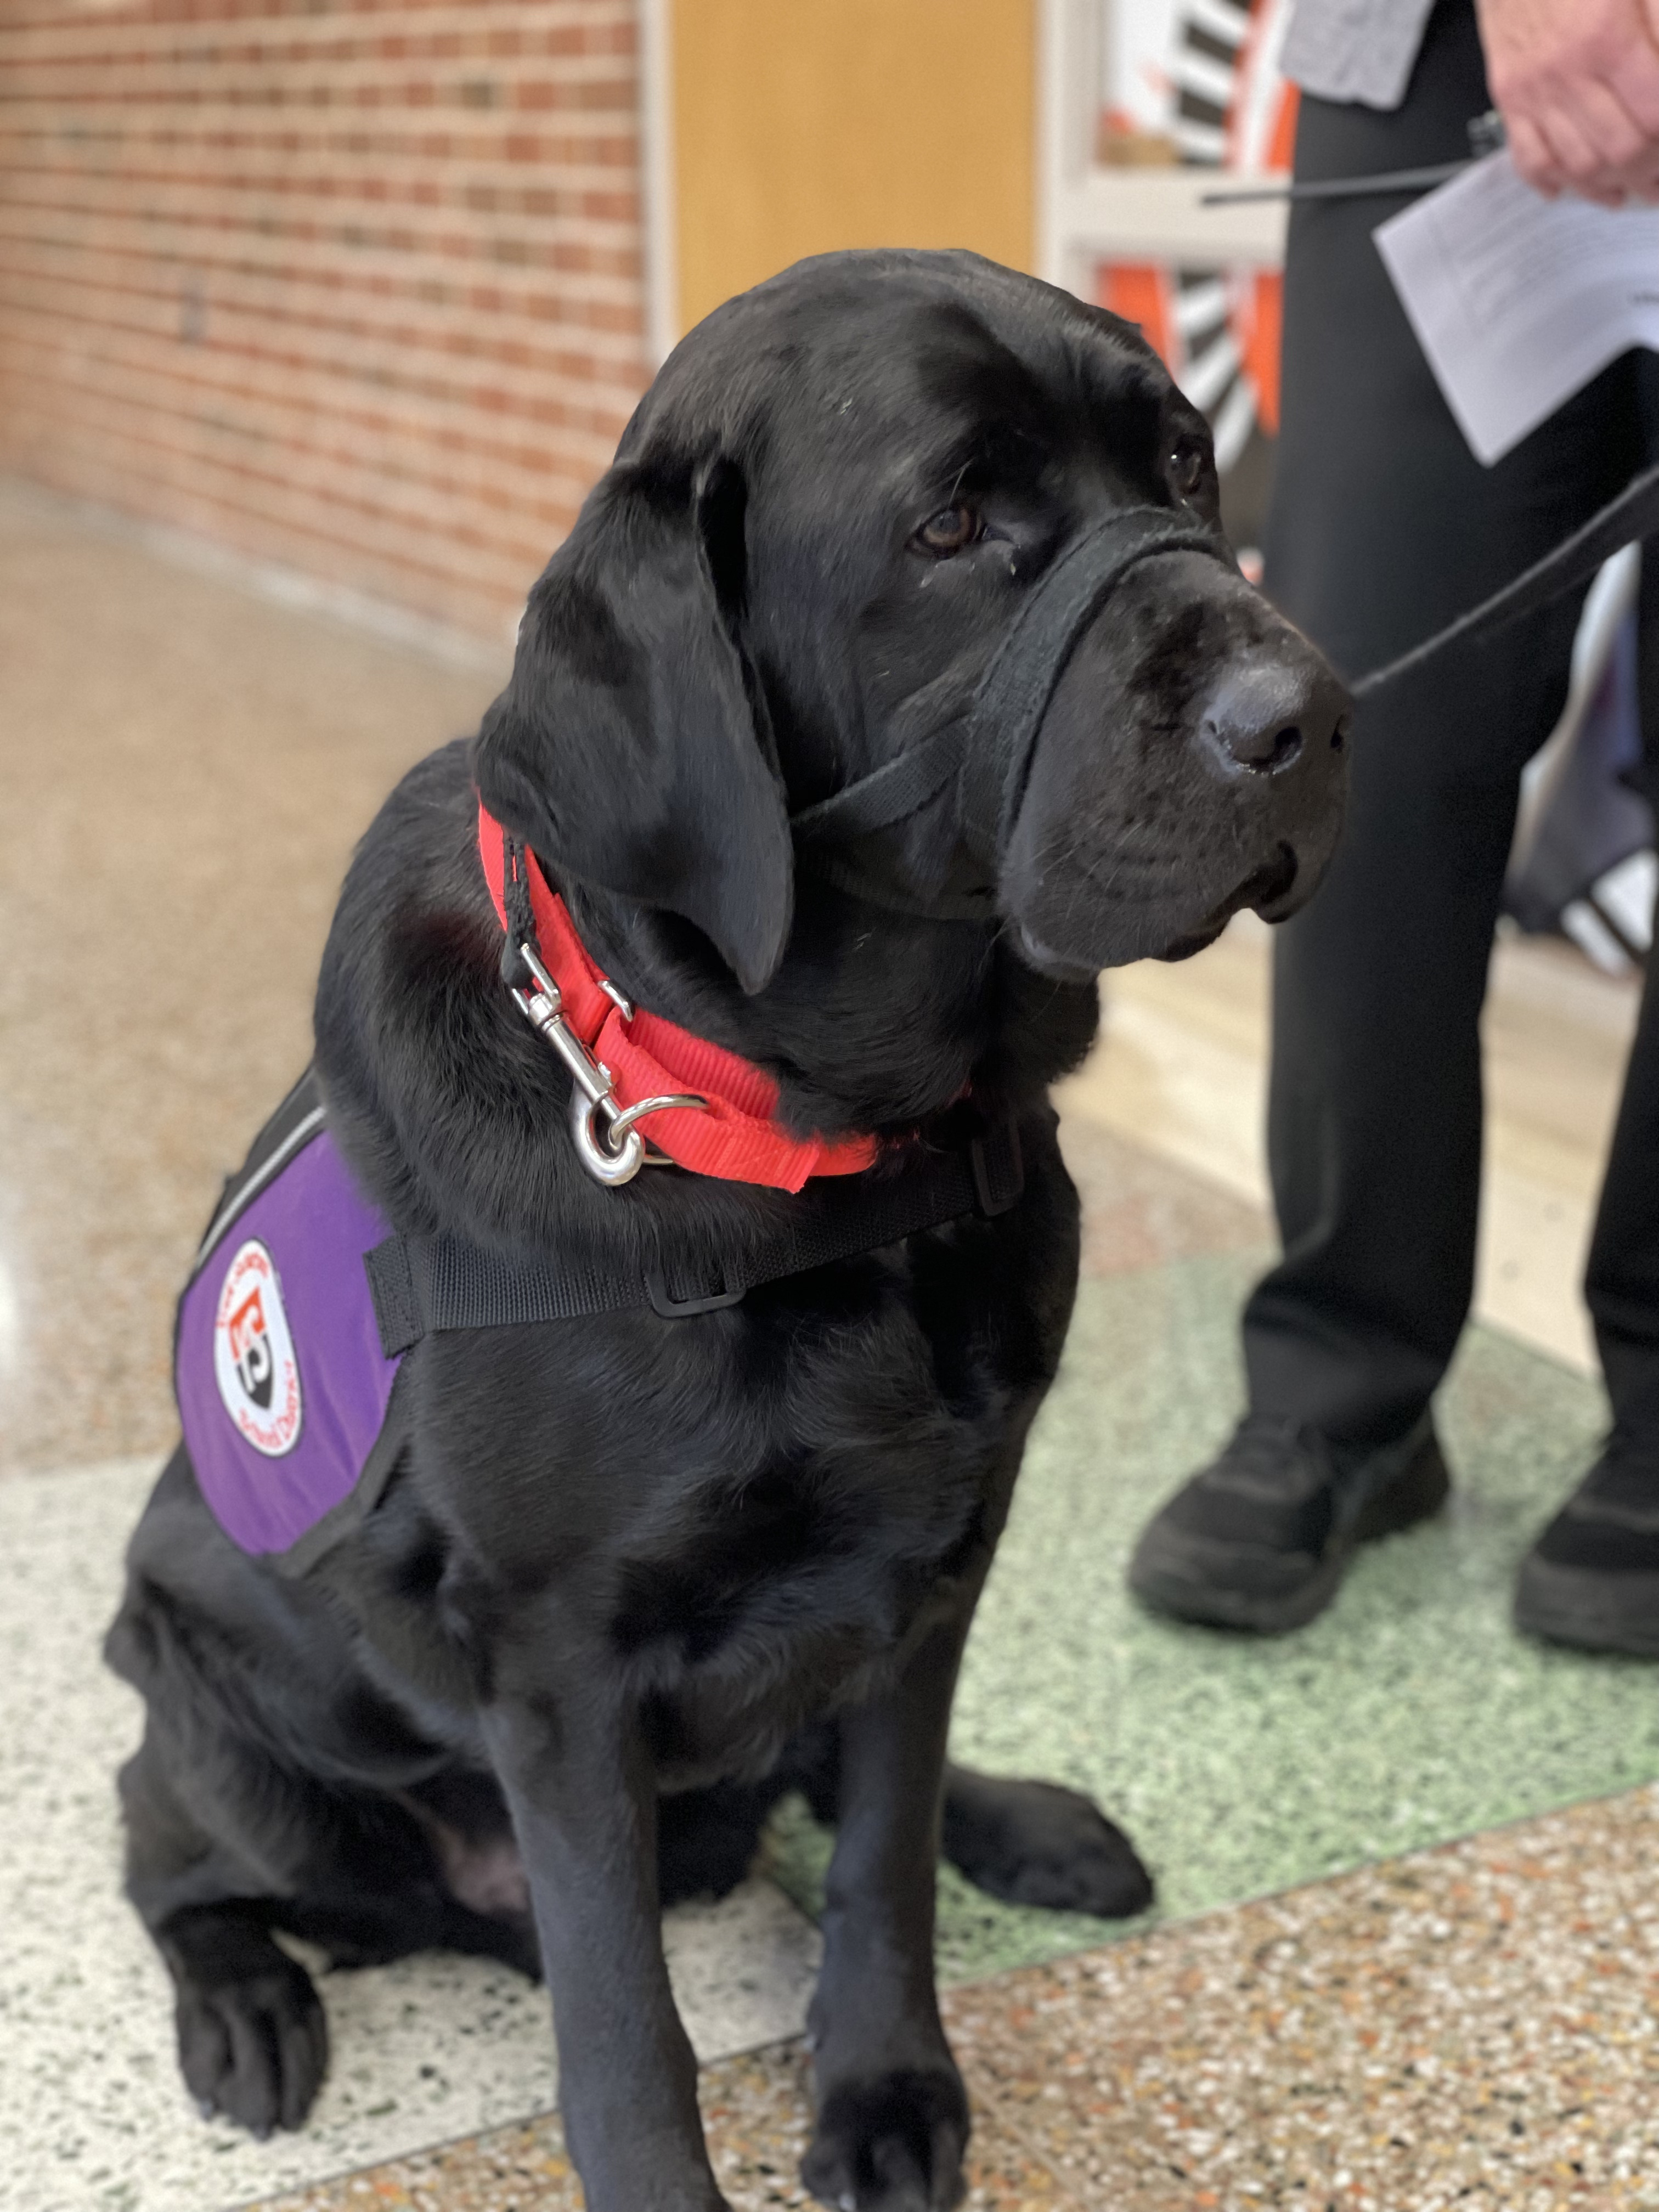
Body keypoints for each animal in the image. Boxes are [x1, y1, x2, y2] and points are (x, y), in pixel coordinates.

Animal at [107, 251, 1353, 2203]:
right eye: (952, 522)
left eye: (1185, 459)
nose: (1310, 715)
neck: (816, 1155)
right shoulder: (561, 1672)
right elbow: (627, 2026)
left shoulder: (941, 1561)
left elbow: (882, 1853)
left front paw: (889, 2081)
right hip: (223, 1709)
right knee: (163, 1844)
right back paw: (241, 1999)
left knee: (825, 1791)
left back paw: (1026, 1821)